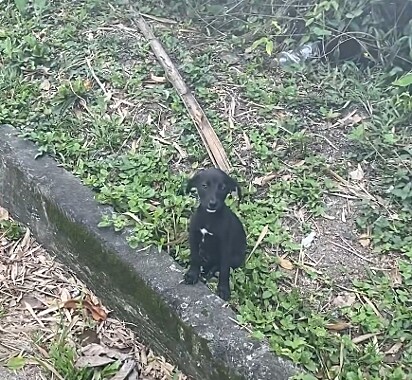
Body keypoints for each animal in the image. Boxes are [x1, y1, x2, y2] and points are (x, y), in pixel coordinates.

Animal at [184, 168, 246, 302]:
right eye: (204, 186)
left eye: (222, 187)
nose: (212, 204)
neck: (209, 218)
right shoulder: (193, 237)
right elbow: (194, 257)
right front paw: (192, 274)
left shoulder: (225, 247)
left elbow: (224, 269)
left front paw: (223, 289)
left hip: (237, 258)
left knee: (218, 265)